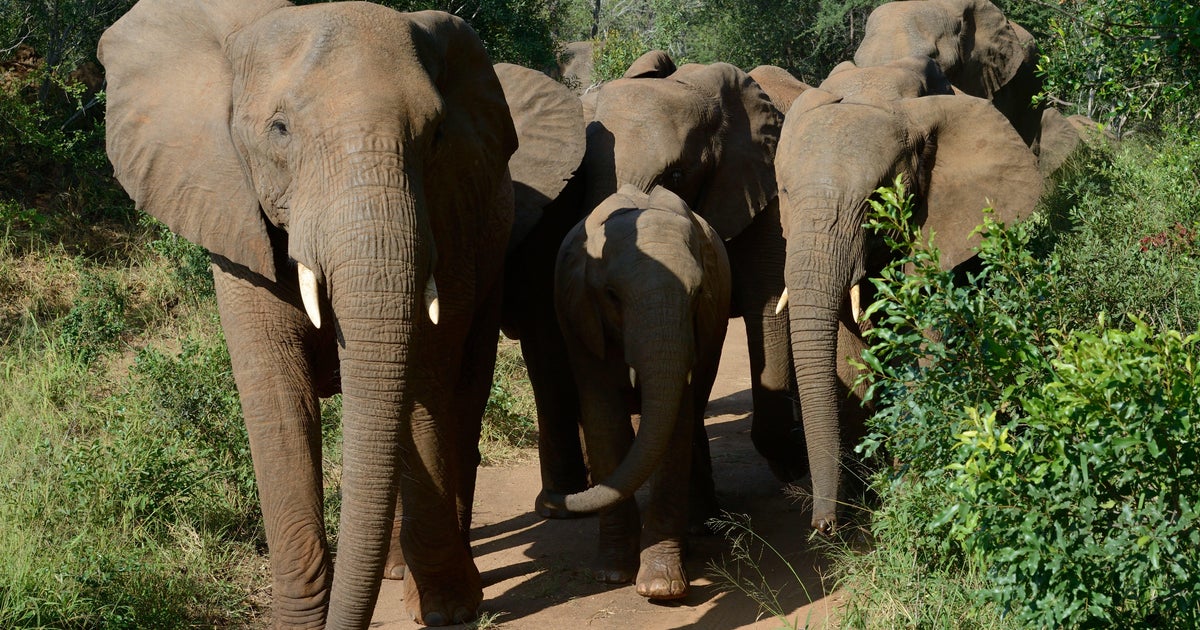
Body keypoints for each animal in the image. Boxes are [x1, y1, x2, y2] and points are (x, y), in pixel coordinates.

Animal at [100, 1, 517, 626]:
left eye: (438, 135)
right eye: (280, 129)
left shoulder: (452, 218)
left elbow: (423, 379)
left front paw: (449, 611)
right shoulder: (234, 217)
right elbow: (278, 398)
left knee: (463, 395)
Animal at [553, 184, 731, 600]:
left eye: (698, 293)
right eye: (612, 295)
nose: (555, 502)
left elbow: (676, 423)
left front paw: (661, 588)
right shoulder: (582, 323)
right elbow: (604, 420)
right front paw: (611, 574)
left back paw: (697, 529)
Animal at [774, 60, 1044, 533]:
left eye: (874, 201)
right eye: (785, 193)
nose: (823, 525)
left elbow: (928, 348)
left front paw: (903, 493)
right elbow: (850, 354)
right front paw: (864, 500)